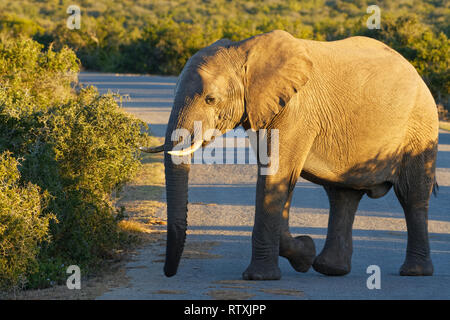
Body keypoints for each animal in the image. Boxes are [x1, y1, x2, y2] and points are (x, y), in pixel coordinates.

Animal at [145, 30, 440, 280]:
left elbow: (276, 177)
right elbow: (279, 179)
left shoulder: (297, 111)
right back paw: (330, 269)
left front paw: (261, 276)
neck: (245, 50)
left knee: (412, 195)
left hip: (420, 127)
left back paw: (414, 272)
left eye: (210, 99)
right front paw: (304, 254)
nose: (169, 274)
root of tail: (417, 73)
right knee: (342, 196)